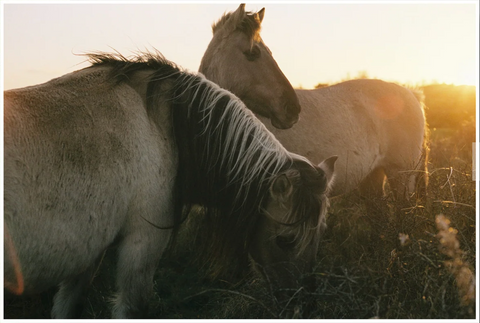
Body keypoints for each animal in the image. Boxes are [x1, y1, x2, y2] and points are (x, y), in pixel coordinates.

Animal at [3, 50, 336, 318]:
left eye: (320, 234)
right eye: (286, 240)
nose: (302, 306)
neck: (162, 124)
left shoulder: (88, 253)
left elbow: (66, 305)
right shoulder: (143, 243)